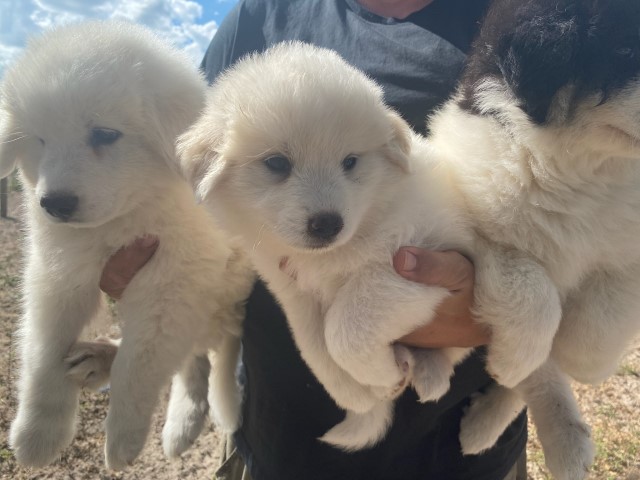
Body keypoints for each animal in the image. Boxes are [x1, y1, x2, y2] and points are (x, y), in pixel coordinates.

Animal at [0, 21, 255, 468]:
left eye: (105, 134)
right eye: (40, 140)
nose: (54, 204)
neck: (124, 220)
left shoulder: (173, 283)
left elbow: (138, 366)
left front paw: (121, 441)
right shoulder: (58, 274)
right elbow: (42, 353)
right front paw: (36, 437)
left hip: (221, 300)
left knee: (200, 357)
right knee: (190, 360)